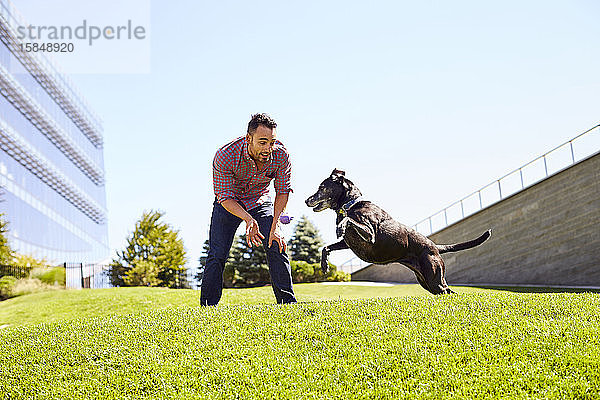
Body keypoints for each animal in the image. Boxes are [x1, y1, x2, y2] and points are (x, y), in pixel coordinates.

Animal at [304, 167, 492, 296]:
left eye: (322, 187)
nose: (306, 200)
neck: (351, 205)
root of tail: (435, 247)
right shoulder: (348, 242)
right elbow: (325, 247)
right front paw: (324, 265)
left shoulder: (370, 234)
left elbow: (349, 220)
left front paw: (341, 226)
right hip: (426, 281)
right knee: (446, 291)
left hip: (433, 276)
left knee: (448, 291)